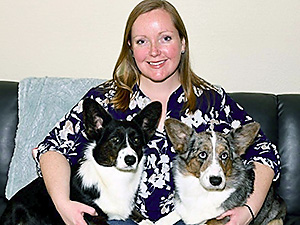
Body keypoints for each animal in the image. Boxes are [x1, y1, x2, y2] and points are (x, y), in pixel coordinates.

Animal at [0, 99, 162, 225]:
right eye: (115, 139)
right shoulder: (90, 216)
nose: (130, 159)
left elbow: (142, 217)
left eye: (137, 140)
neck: (117, 177)